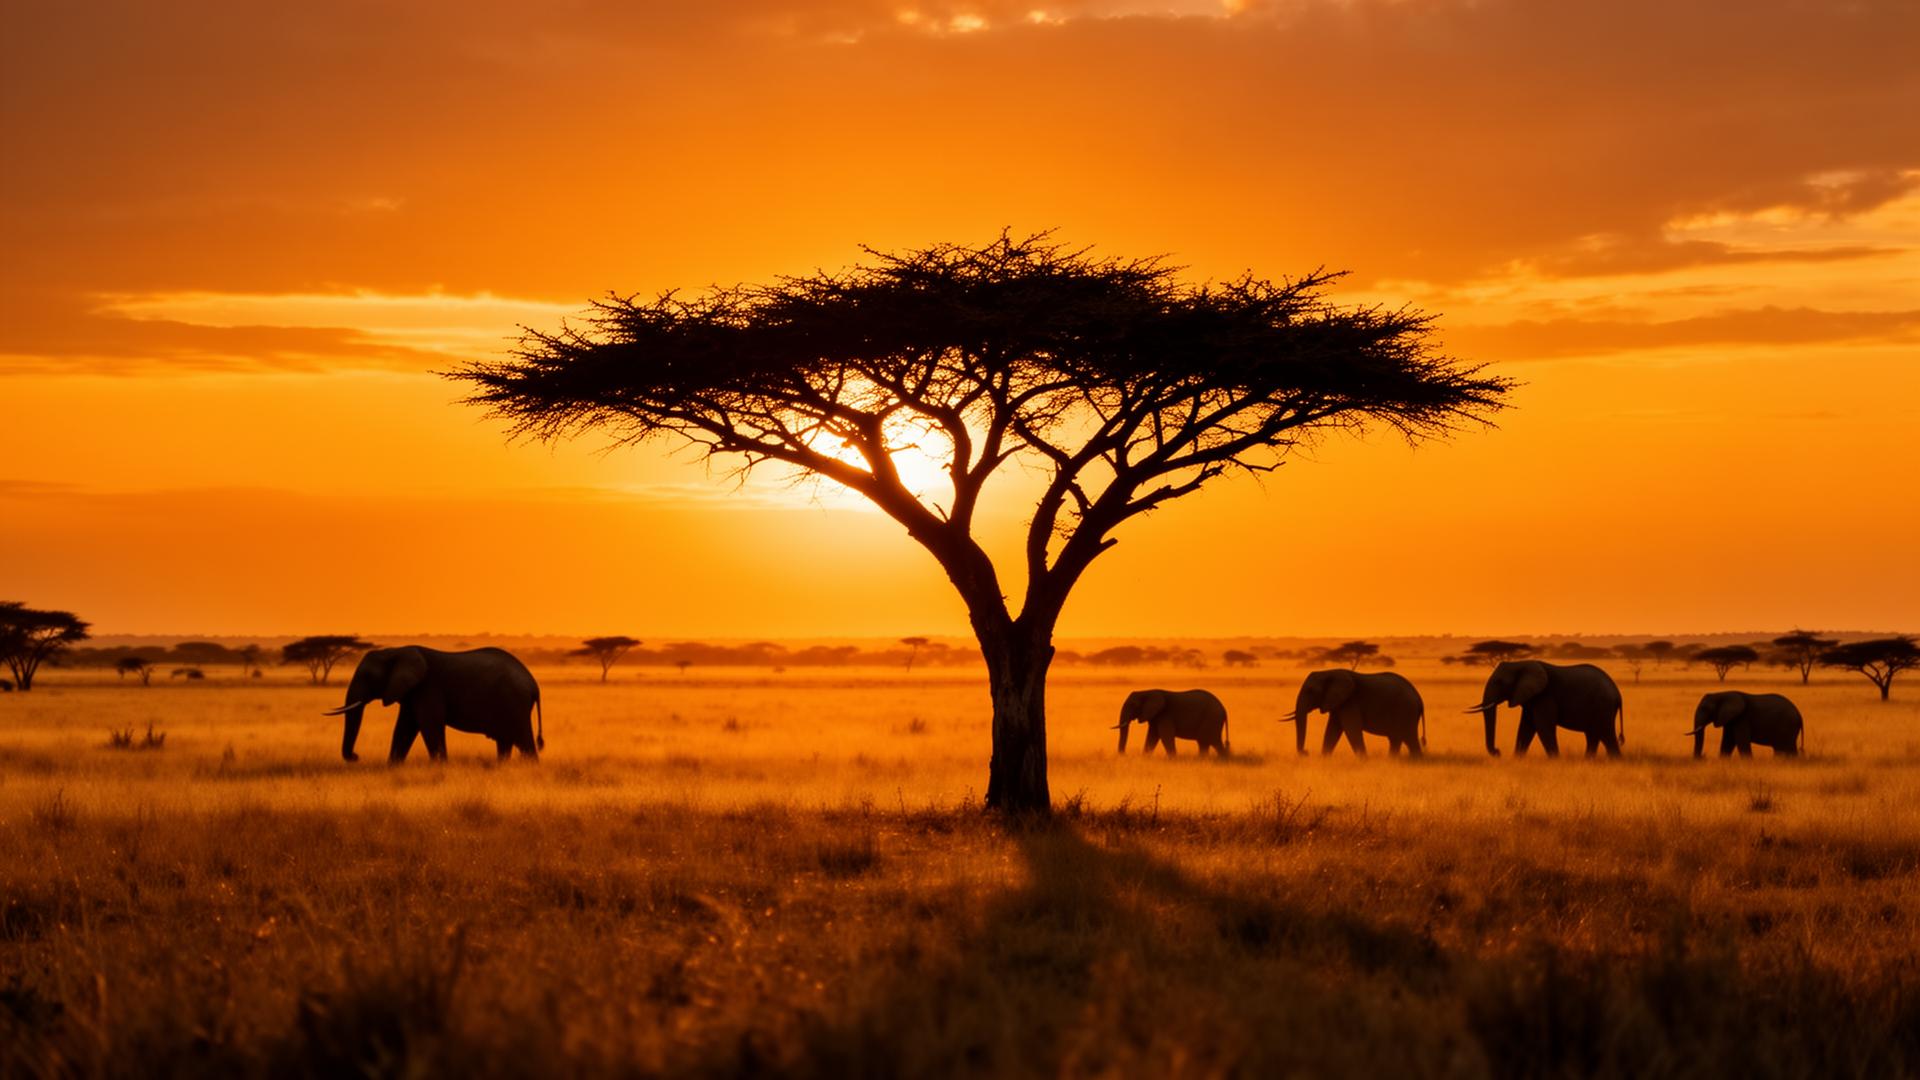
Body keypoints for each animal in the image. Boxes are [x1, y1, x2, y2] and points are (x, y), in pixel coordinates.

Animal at [324, 646, 543, 763]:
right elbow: (404, 728)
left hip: (515, 702)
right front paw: (392, 767)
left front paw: (440, 766)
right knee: (505, 740)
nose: (356, 756)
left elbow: (429, 726)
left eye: (368, 676)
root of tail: (533, 683)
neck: (396, 651)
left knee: (523, 740)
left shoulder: (428, 688)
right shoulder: (412, 692)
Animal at [1285, 669, 1425, 756]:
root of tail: (1419, 698)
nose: (1306, 752)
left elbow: (1351, 729)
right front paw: (1324, 759)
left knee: (1409, 739)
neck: (1329, 672)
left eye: (1310, 690)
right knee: (1397, 739)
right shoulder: (1338, 702)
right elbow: (1332, 730)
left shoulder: (1350, 702)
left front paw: (1364, 762)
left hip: (1407, 711)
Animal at [1469, 660, 1624, 758]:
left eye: (1500, 682)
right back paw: (1589, 761)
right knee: (1593, 735)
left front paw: (1555, 761)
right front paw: (1517, 759)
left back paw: (1614, 762)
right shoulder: (1530, 698)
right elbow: (1526, 727)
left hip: (1603, 706)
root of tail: (1617, 692)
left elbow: (1542, 726)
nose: (1498, 752)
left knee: (1606, 734)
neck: (1521, 663)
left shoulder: (1545, 695)